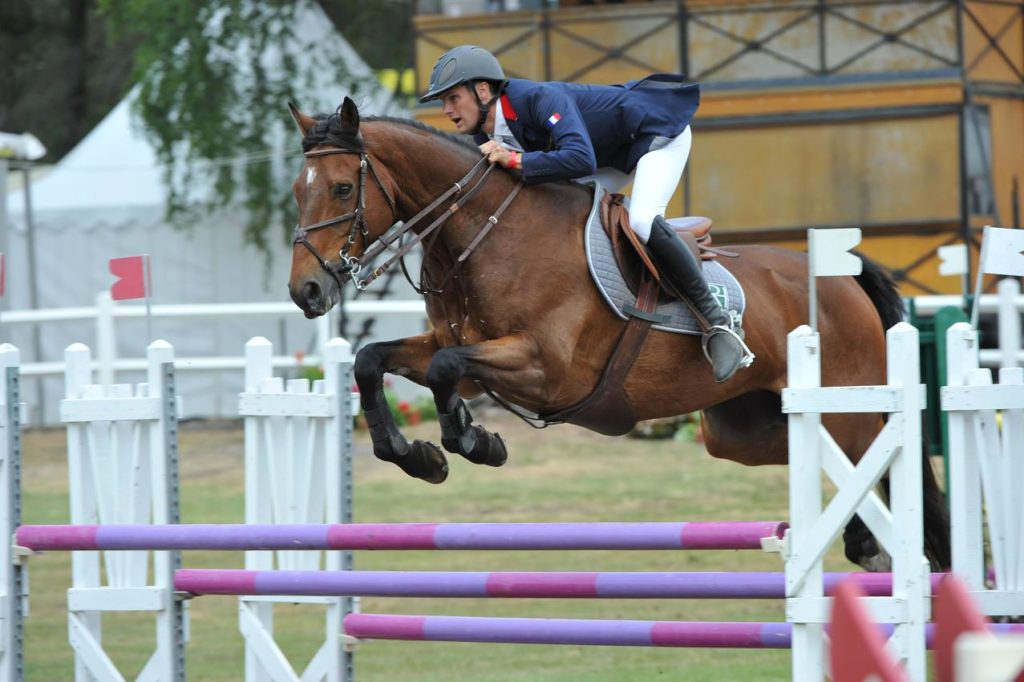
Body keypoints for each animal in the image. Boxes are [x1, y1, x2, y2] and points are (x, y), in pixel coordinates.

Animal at [284, 96, 946, 569]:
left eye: (342, 188)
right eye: (295, 190)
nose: (306, 292)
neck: (485, 232)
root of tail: (847, 280)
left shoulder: (546, 369)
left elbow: (448, 372)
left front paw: (474, 441)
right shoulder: (456, 347)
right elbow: (373, 361)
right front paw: (420, 456)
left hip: (845, 409)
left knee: (878, 459)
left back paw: (880, 547)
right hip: (739, 429)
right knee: (826, 461)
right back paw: (866, 541)